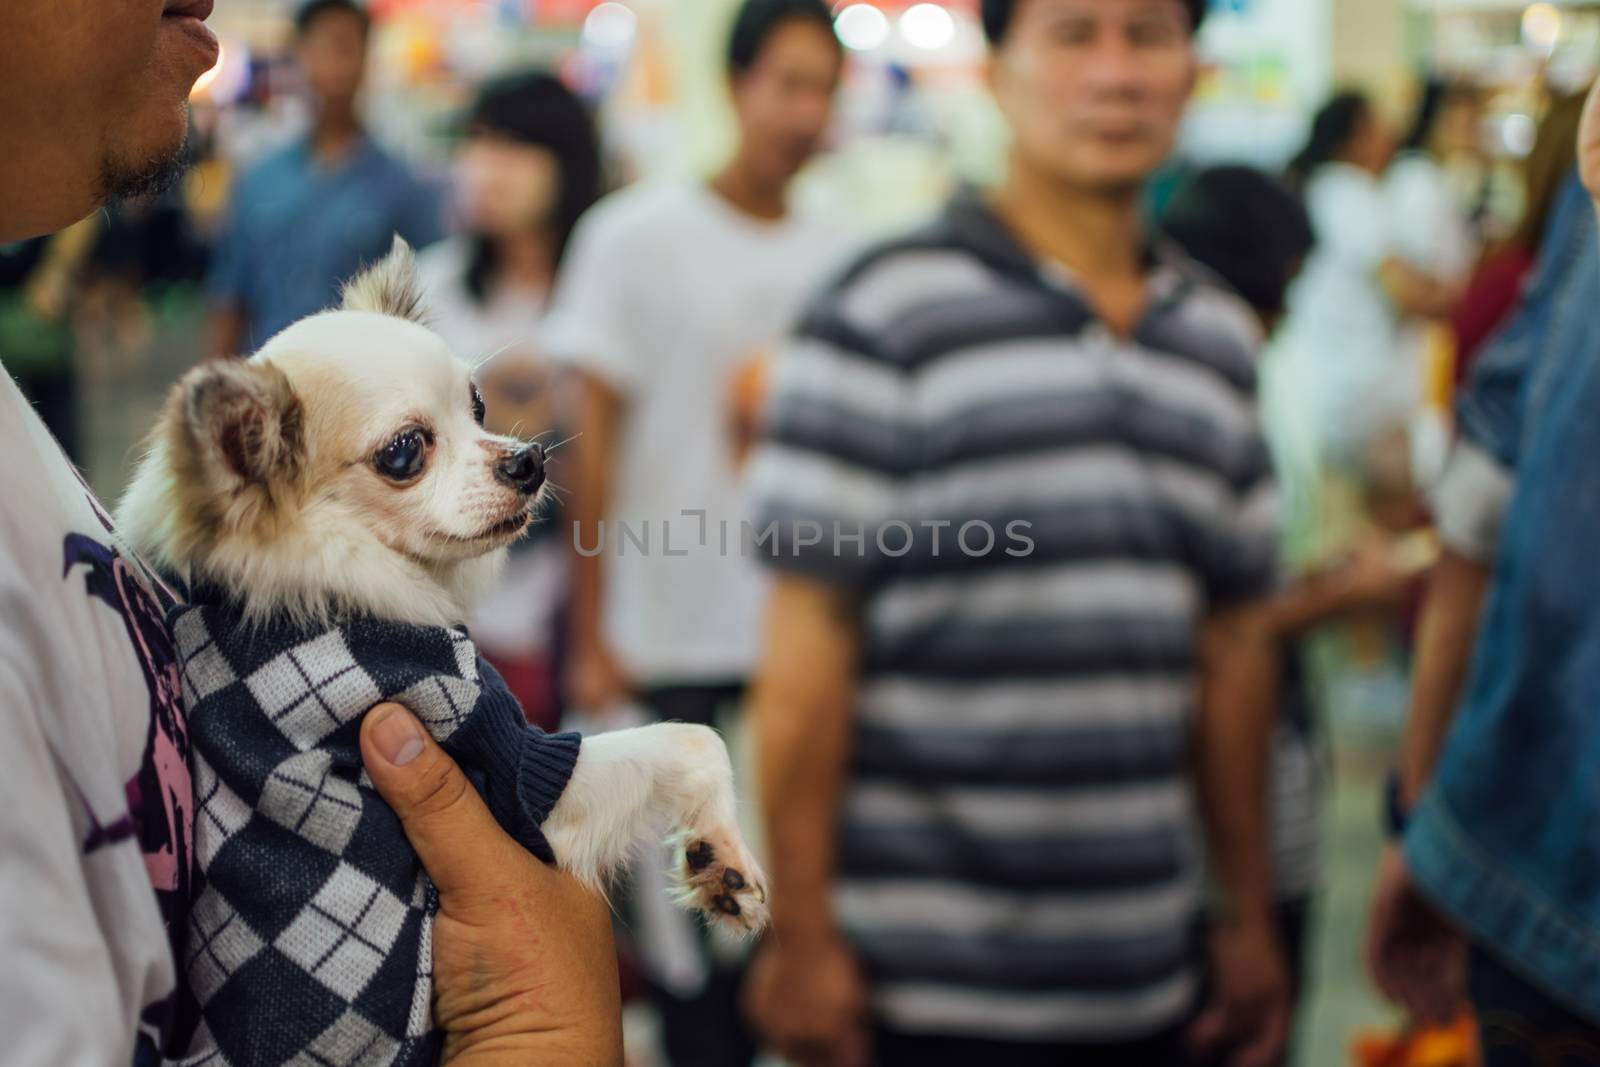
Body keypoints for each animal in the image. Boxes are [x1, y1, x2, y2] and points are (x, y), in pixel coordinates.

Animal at [120, 239, 768, 985]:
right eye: (404, 452)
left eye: (479, 405)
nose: (528, 458)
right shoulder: (512, 766)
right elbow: (693, 737)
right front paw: (723, 857)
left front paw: (720, 860)